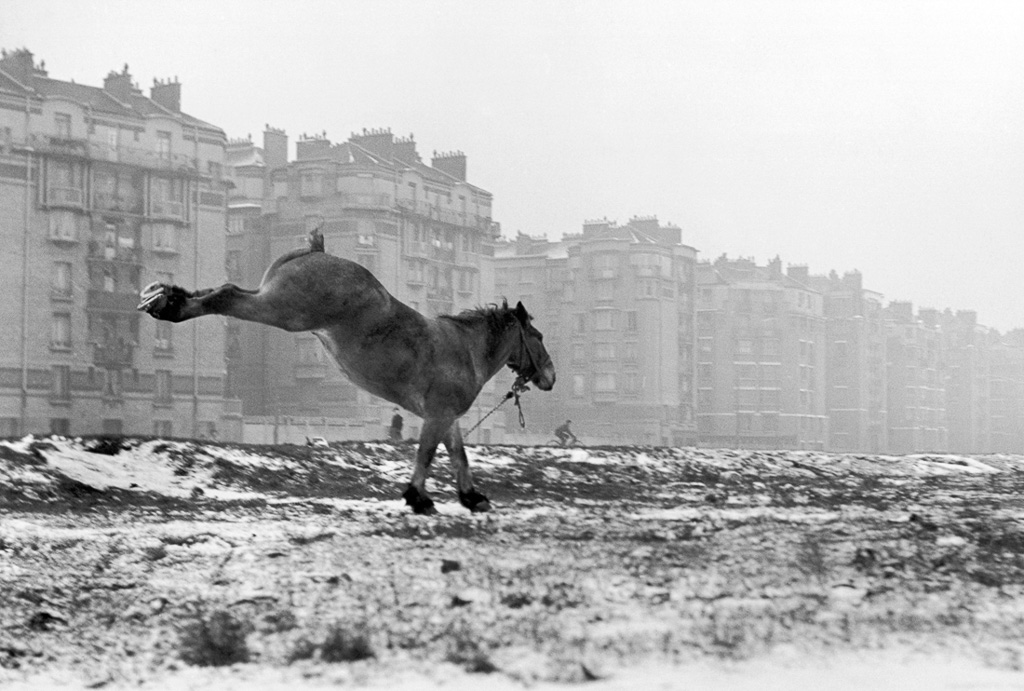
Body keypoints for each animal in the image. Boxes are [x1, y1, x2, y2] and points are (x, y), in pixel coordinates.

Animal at [137, 227, 557, 513]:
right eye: (536, 335)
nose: (551, 376)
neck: (464, 349)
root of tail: (314, 252)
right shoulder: (437, 415)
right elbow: (427, 454)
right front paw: (419, 498)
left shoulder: (446, 415)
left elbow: (457, 454)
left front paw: (471, 496)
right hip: (281, 310)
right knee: (225, 295)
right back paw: (168, 307)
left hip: (270, 300)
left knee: (219, 291)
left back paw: (166, 298)